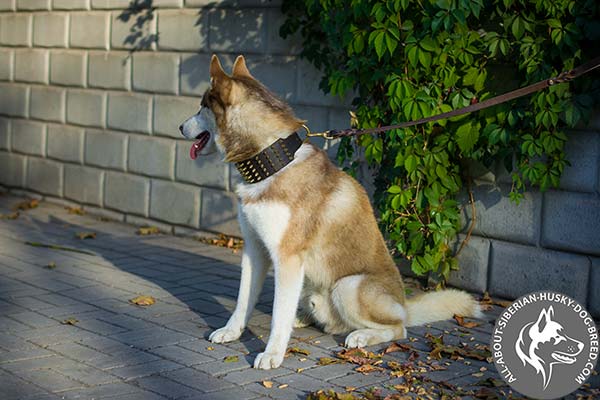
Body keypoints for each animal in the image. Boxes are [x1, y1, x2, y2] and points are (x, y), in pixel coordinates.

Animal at [179, 54, 482, 370]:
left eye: (201, 106)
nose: (179, 127)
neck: (272, 161)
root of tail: (404, 303)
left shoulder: (287, 258)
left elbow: (277, 315)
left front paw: (272, 353)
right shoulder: (254, 249)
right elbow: (243, 300)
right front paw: (231, 331)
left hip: (347, 286)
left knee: (398, 328)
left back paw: (361, 335)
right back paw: (303, 318)